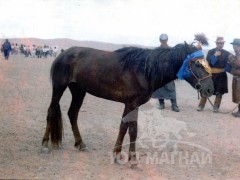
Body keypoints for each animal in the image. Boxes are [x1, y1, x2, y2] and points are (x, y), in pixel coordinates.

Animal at [42, 34, 213, 167]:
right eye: (197, 63)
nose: (210, 90)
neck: (144, 70)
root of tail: (63, 54)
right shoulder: (132, 104)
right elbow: (131, 130)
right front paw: (130, 158)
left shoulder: (131, 105)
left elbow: (124, 127)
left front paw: (119, 154)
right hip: (59, 88)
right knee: (51, 111)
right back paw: (45, 144)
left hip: (78, 91)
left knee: (72, 114)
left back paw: (80, 144)